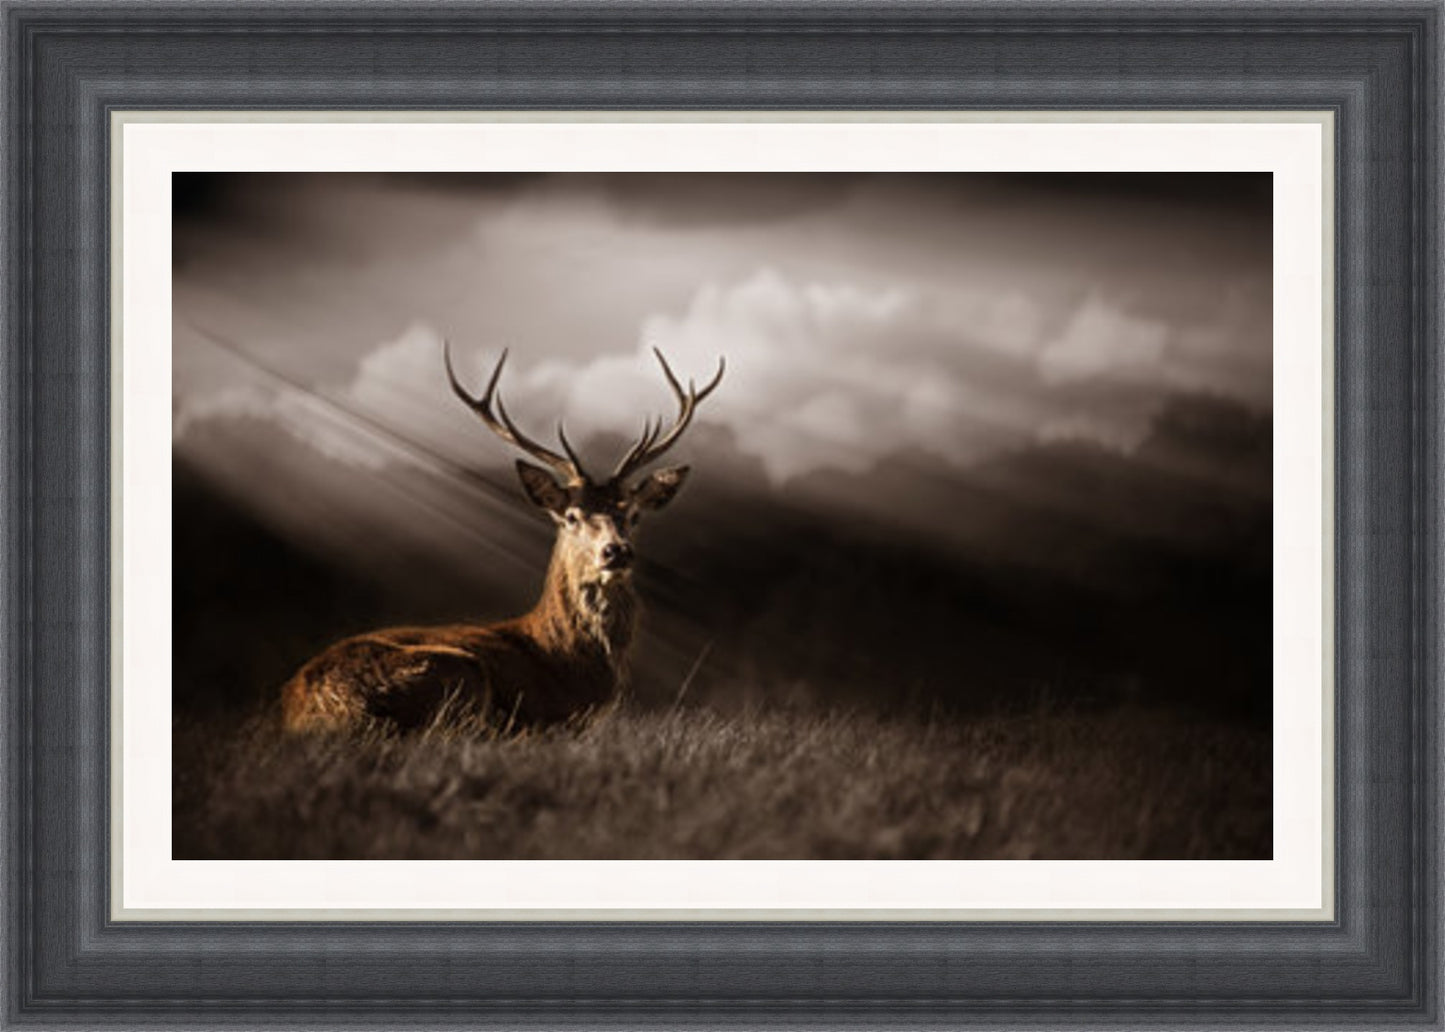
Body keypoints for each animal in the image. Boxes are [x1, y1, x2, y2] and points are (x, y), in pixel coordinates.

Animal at [280, 344, 724, 733]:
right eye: (571, 517)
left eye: (632, 515)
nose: (616, 551)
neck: (568, 663)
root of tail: (306, 710)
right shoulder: (552, 719)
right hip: (455, 671)